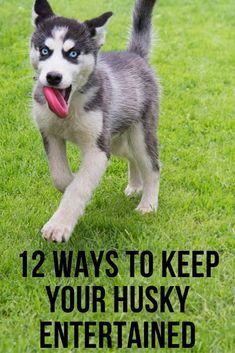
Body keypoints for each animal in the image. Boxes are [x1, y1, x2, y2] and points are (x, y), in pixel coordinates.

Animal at [30, 0, 161, 242]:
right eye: (44, 51)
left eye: (72, 53)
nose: (53, 77)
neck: (71, 106)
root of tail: (134, 54)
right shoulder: (49, 134)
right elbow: (61, 177)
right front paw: (70, 180)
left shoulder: (97, 149)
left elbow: (79, 187)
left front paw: (58, 226)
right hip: (115, 137)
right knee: (132, 156)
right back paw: (135, 186)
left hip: (139, 132)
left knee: (152, 166)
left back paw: (147, 204)